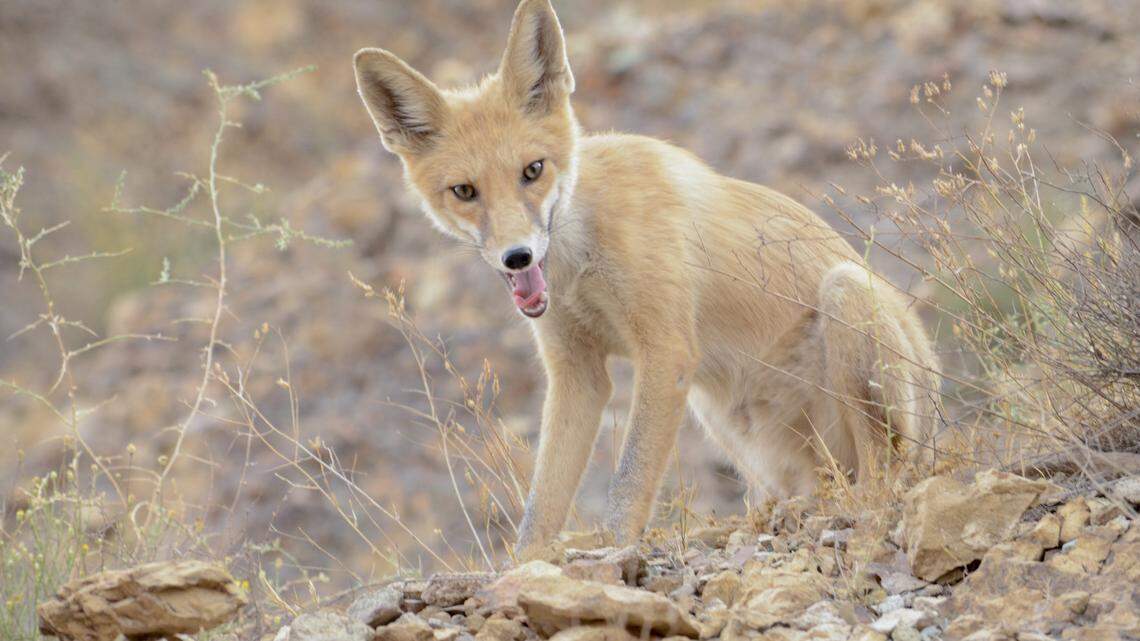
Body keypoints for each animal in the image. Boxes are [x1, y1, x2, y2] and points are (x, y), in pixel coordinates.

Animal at [353, 0, 940, 559]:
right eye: (465, 191)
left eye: (533, 170)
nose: (516, 257)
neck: (580, 258)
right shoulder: (577, 373)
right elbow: (543, 502)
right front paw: (527, 568)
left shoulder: (666, 351)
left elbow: (629, 481)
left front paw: (610, 552)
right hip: (724, 416)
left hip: (846, 302)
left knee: (882, 477)